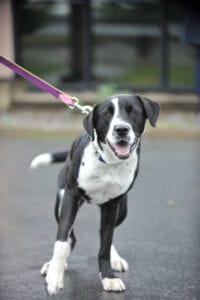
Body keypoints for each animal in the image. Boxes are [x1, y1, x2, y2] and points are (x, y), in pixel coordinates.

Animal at [30, 94, 159, 296]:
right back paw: (52, 265)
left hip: (122, 210)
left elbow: (105, 243)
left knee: (105, 232)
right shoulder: (71, 197)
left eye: (133, 112)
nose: (121, 129)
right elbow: (61, 241)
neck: (108, 162)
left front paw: (108, 277)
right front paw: (55, 276)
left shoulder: (113, 204)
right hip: (60, 203)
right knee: (70, 238)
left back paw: (115, 258)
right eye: (106, 114)